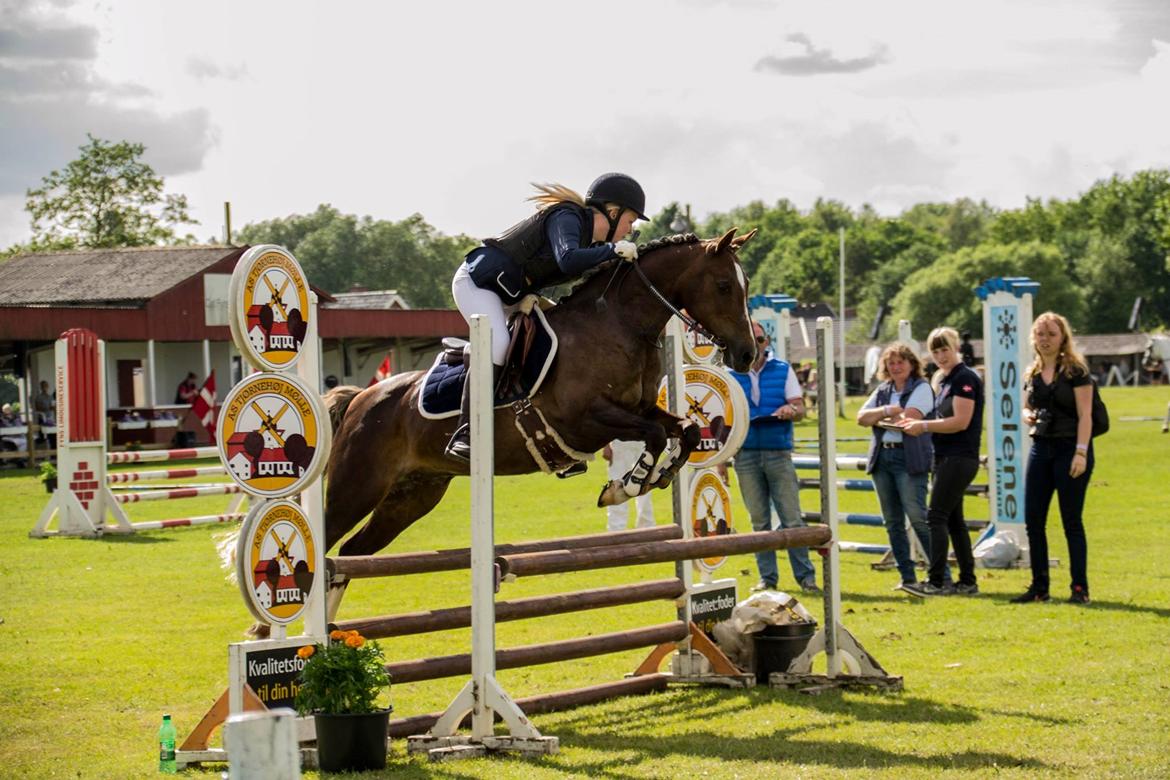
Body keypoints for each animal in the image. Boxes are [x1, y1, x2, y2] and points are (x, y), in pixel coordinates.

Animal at [320, 229, 762, 558]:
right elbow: (654, 435)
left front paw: (655, 476)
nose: (747, 354)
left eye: (746, 286)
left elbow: (683, 430)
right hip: (356, 487)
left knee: (352, 554)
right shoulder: (585, 420)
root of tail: (360, 398)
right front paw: (627, 486)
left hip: (412, 495)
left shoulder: (639, 408)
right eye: (724, 285)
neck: (618, 325)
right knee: (328, 543)